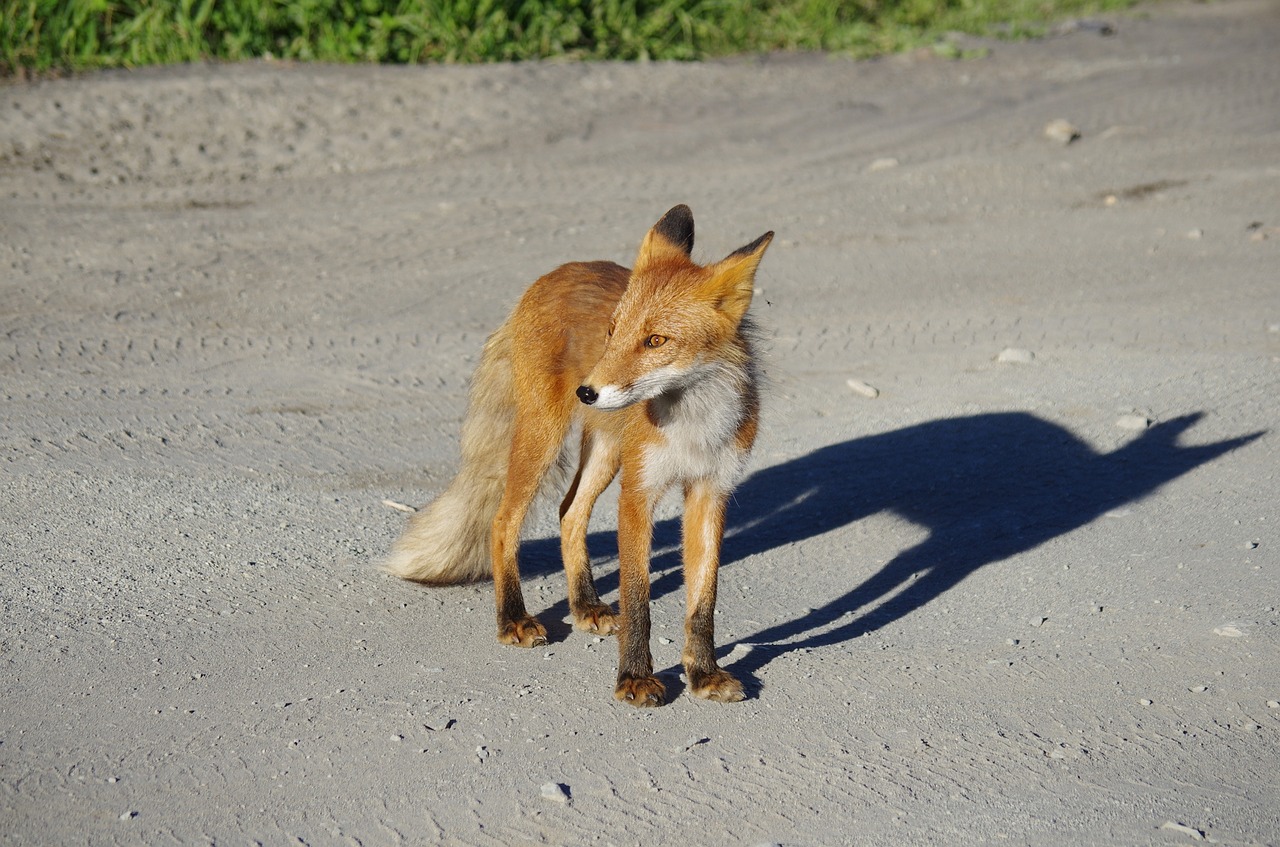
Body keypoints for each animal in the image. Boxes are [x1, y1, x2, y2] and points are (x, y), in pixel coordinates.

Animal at [384, 207, 773, 711]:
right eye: (612, 331)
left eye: (656, 340)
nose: (587, 392)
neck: (693, 426)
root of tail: (556, 272)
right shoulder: (638, 492)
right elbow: (637, 600)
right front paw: (635, 678)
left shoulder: (712, 491)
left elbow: (703, 601)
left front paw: (704, 673)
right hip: (544, 437)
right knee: (503, 521)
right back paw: (513, 617)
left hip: (605, 452)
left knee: (569, 512)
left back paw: (584, 604)